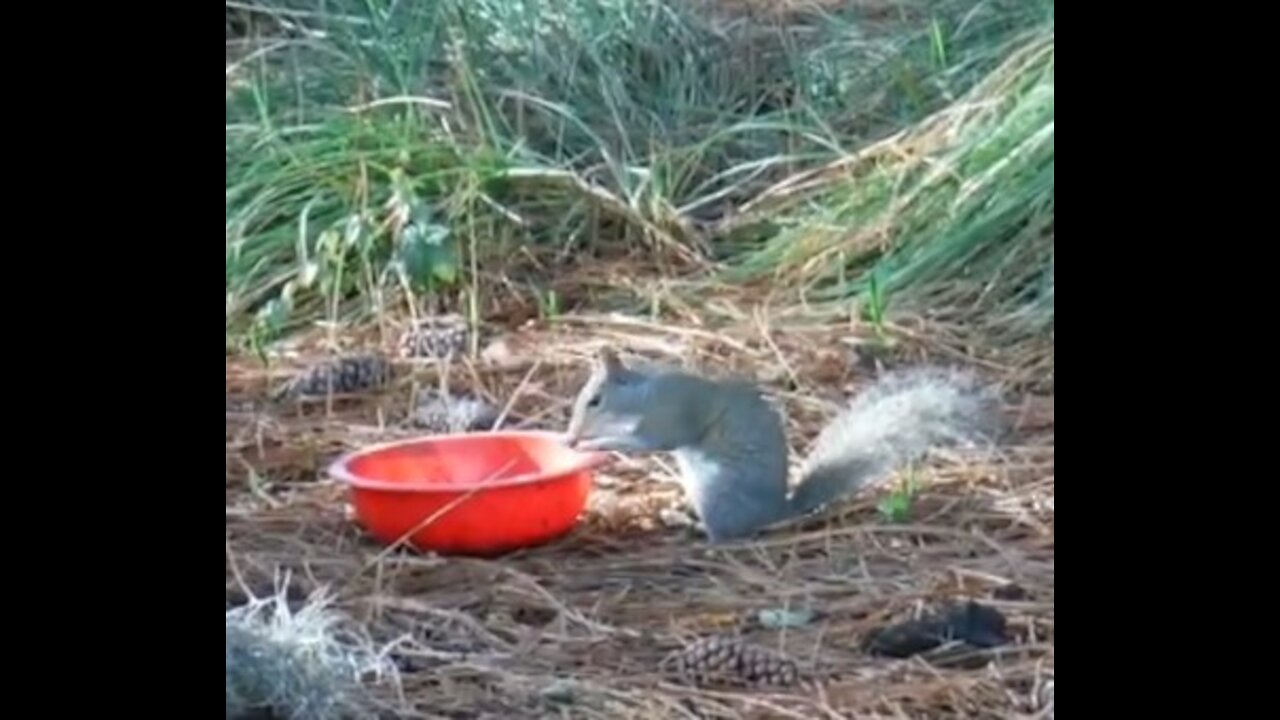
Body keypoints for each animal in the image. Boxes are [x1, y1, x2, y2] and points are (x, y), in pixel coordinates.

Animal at [568, 345, 998, 538]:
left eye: (595, 400)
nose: (571, 435)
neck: (641, 396)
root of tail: (775, 513)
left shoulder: (671, 415)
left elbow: (648, 441)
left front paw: (595, 446)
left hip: (717, 493)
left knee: (726, 535)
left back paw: (695, 529)